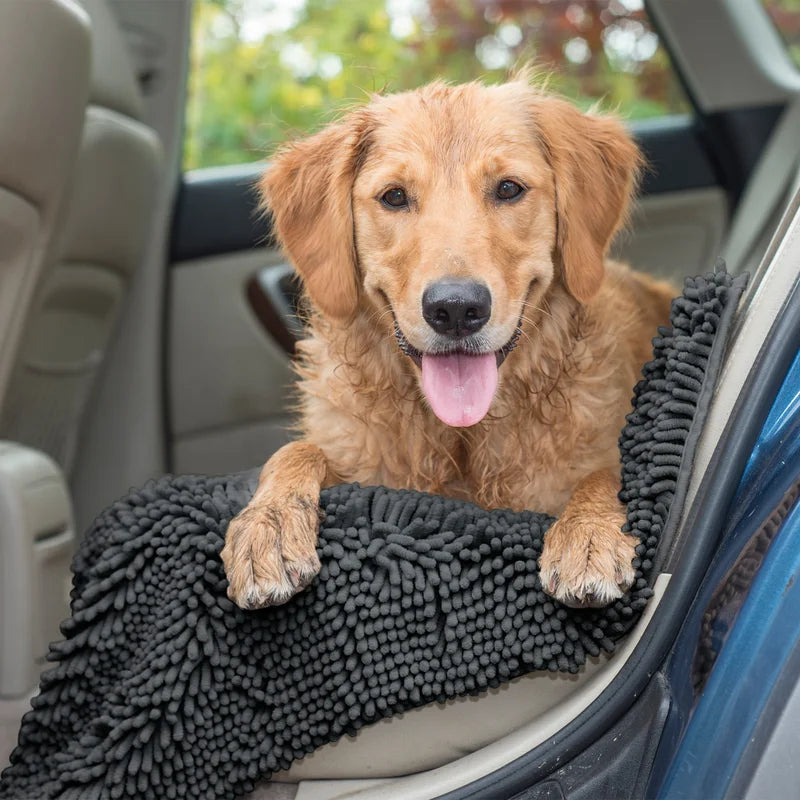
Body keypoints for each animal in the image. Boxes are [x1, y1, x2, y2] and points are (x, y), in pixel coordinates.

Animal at [219, 75, 676, 612]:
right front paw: (266, 525)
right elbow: (295, 451)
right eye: (394, 197)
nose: (456, 309)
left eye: (508, 189)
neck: (462, 441)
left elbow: (605, 472)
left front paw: (589, 531)